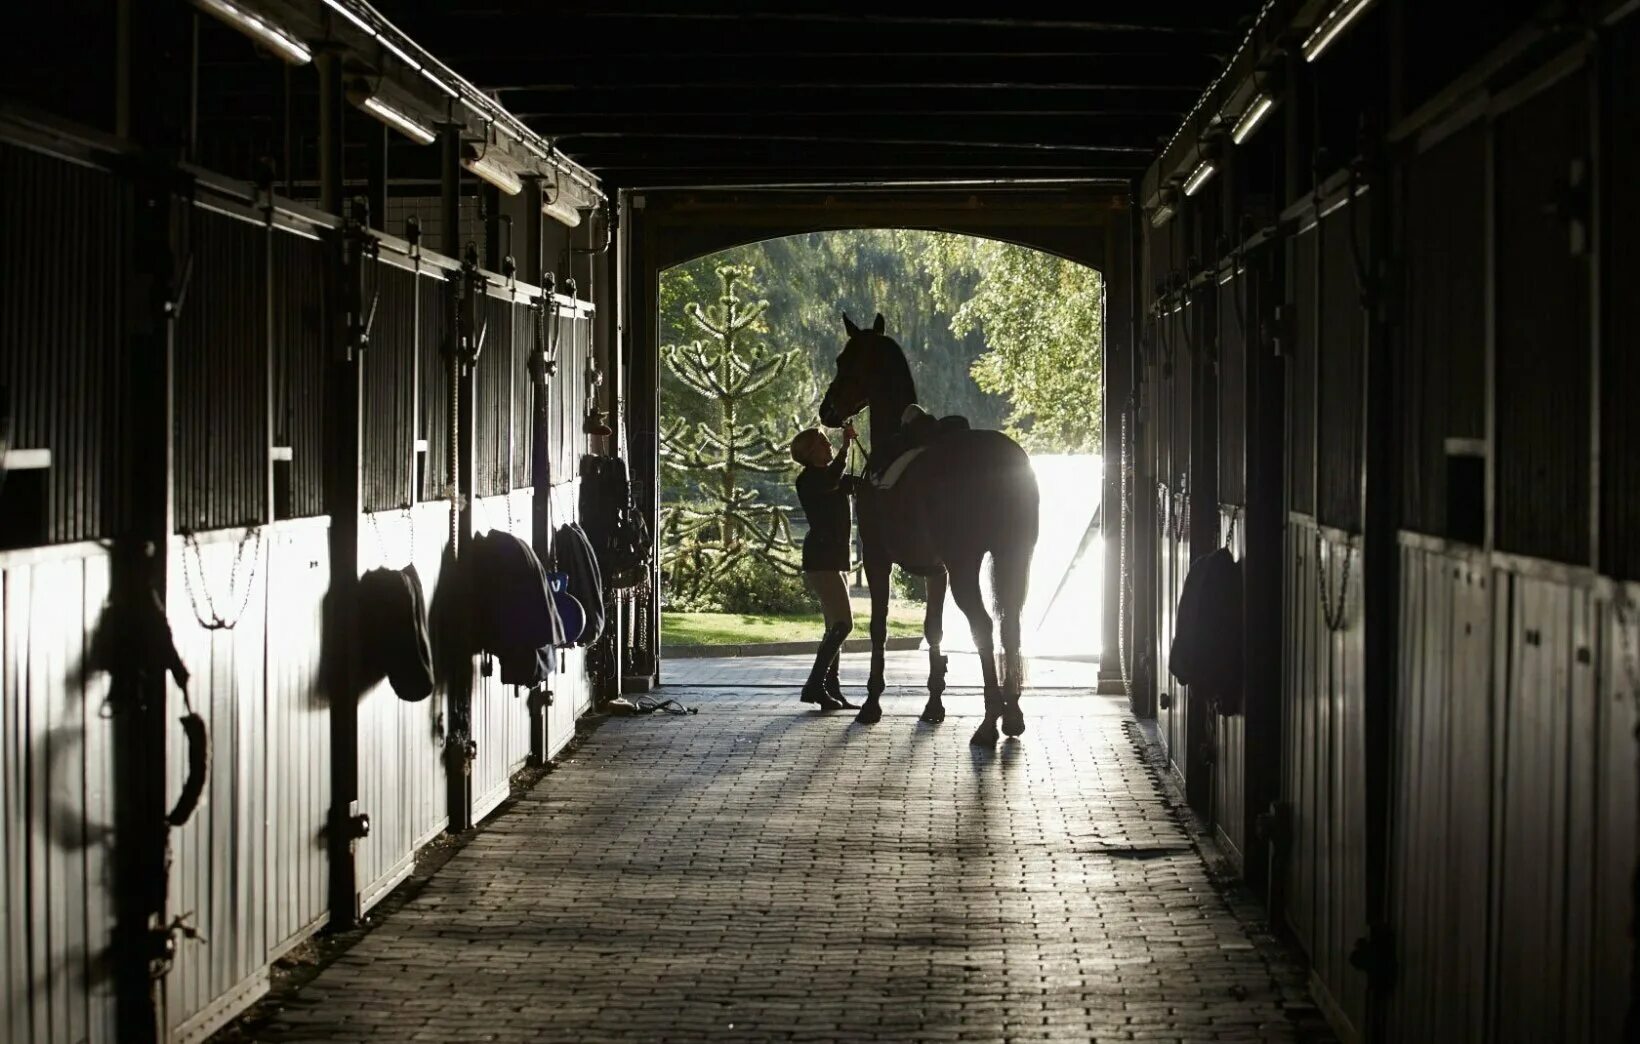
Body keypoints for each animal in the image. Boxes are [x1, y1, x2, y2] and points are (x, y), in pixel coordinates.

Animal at [816, 313, 1036, 744]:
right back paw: (1013, 715)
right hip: (1011, 558)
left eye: (844, 361)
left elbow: (879, 627)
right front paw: (934, 705)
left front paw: (871, 703)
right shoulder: (937, 572)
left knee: (984, 626)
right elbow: (933, 630)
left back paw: (989, 721)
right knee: (1010, 627)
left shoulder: (877, 560)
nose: (827, 410)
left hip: (967, 566)